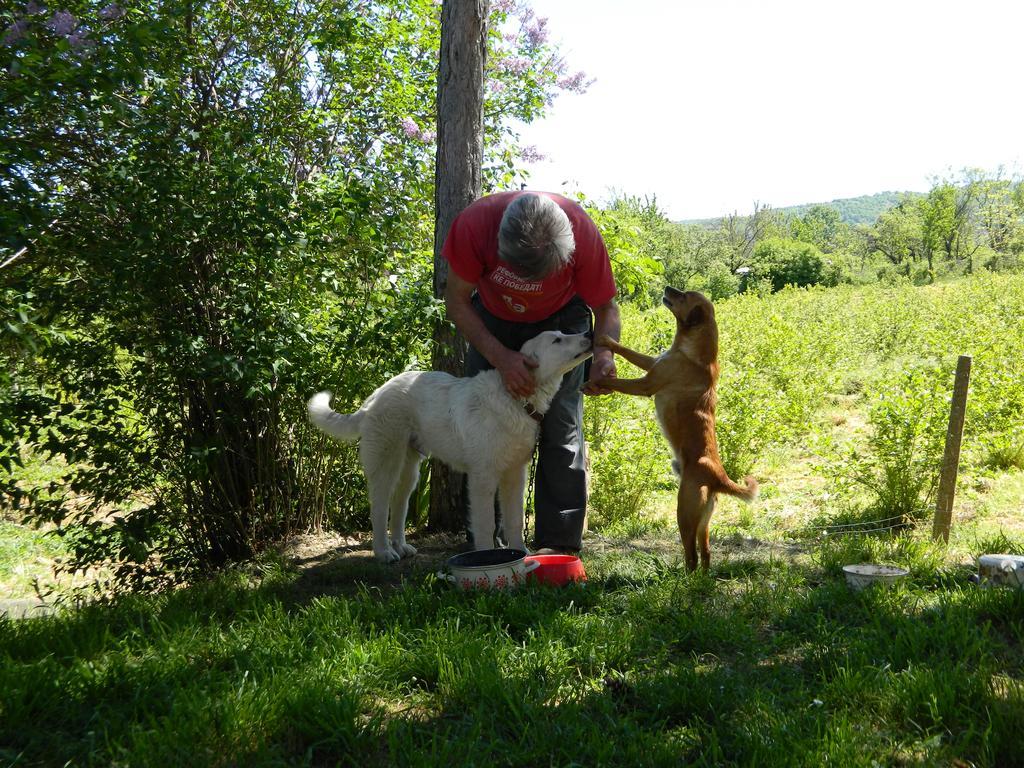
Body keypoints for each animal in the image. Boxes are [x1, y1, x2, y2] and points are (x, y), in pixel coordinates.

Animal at [305, 327, 593, 561]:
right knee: (379, 507)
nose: (589, 334)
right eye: (557, 340)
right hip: (387, 464)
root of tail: (375, 396)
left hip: (410, 471)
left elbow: (514, 520)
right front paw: (486, 556)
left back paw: (401, 546)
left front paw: (521, 554)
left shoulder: (514, 475)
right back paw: (384, 552)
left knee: (399, 505)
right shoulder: (483, 478)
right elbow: (486, 524)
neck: (515, 400)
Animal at [598, 286, 757, 573]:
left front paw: (594, 381)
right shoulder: (652, 363)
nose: (668, 288)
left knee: (691, 555)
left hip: (684, 513)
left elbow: (617, 382)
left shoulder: (645, 384)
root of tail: (718, 477)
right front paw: (608, 341)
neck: (690, 351)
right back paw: (701, 579)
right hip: (704, 522)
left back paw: (681, 579)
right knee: (706, 554)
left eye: (685, 295)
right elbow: (628, 350)